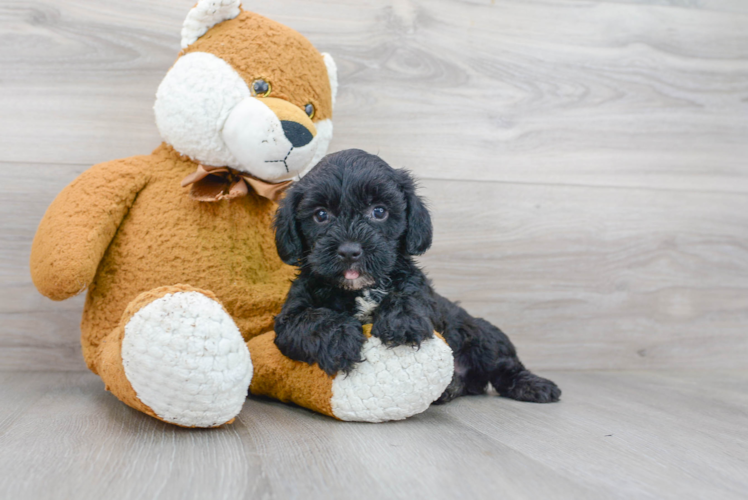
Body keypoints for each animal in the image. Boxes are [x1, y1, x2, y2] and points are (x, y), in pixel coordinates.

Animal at [272, 148, 560, 402]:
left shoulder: (422, 292)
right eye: (321, 215)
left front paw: (402, 321)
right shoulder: (289, 317)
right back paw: (451, 388)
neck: (361, 289)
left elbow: (411, 297)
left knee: (503, 365)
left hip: (481, 336)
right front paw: (340, 340)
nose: (350, 251)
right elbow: (311, 319)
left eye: (379, 211)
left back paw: (534, 386)